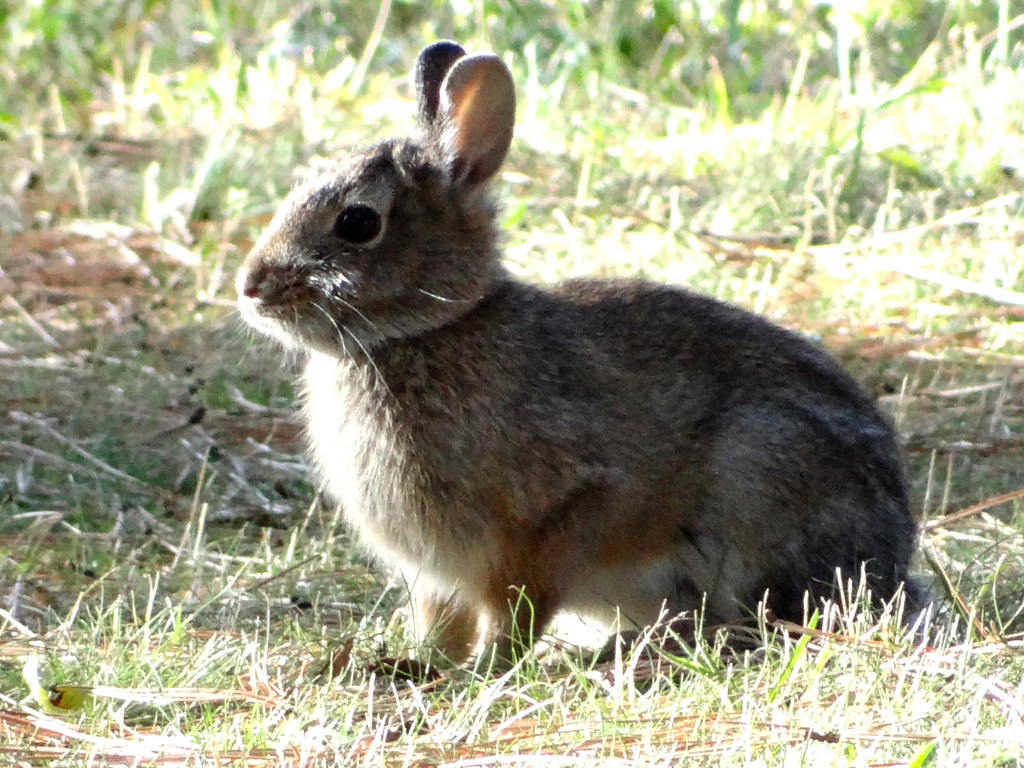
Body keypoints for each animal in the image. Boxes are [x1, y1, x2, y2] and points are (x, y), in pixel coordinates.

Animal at [236, 41, 919, 666]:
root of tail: (895, 553)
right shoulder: (434, 575)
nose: (250, 287)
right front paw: (416, 664)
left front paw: (484, 669)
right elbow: (440, 623)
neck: (429, 331)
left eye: (357, 222)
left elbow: (519, 607)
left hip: (758, 478)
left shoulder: (556, 517)